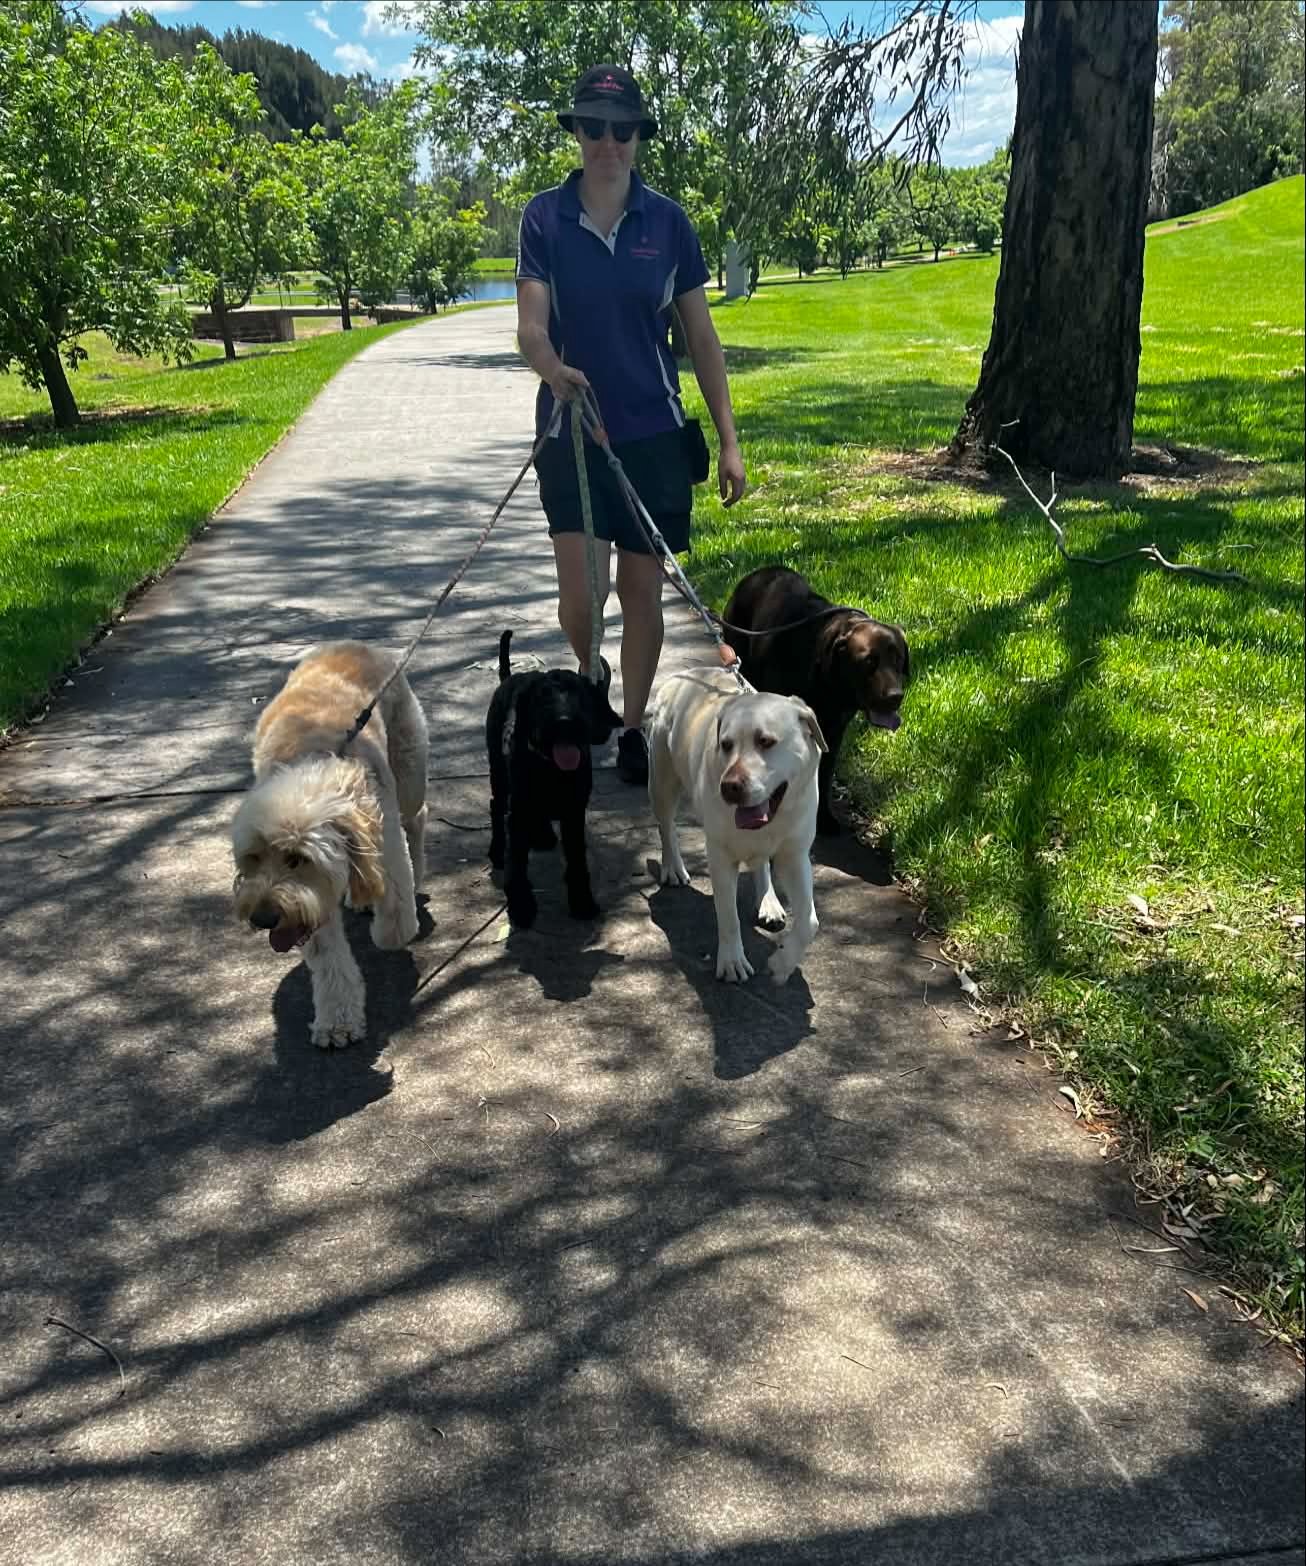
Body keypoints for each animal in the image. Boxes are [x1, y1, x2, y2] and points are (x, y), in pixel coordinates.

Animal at [231, 642, 429, 1048]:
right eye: (253, 858)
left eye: (297, 858)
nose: (262, 918)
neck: (313, 759)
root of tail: (359, 645)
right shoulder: (308, 903)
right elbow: (328, 958)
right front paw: (338, 1021)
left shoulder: (384, 838)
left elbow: (396, 921)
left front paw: (387, 932)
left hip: (408, 774)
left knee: (417, 817)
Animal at [487, 631, 623, 928]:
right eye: (542, 697)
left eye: (579, 695)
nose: (564, 723)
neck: (550, 767)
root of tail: (508, 679)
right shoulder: (519, 811)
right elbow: (517, 861)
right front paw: (522, 906)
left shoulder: (574, 811)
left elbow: (577, 859)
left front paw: (582, 901)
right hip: (499, 775)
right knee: (496, 806)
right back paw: (497, 850)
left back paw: (543, 834)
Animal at [647, 667, 827, 985]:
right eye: (726, 745)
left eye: (765, 741)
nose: (729, 786)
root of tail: (682, 674)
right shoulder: (720, 857)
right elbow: (728, 915)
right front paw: (732, 960)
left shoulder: (795, 856)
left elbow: (809, 922)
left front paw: (782, 965)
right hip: (663, 781)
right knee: (666, 825)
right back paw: (673, 867)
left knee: (761, 863)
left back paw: (768, 900)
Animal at [721, 566, 909, 835]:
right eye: (867, 662)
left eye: (898, 659)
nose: (895, 696)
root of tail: (754, 574)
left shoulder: (834, 731)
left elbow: (825, 773)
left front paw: (825, 819)